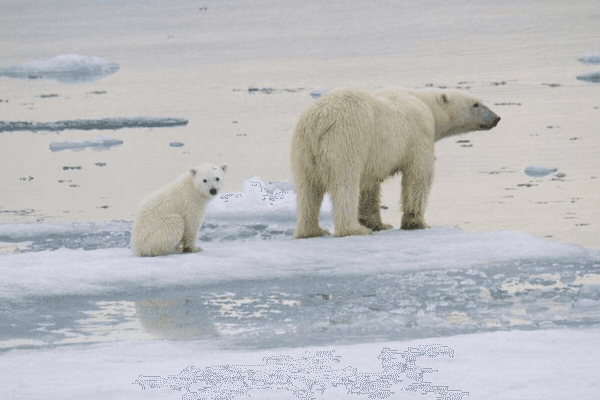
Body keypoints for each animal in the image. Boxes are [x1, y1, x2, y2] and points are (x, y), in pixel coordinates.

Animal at [290, 88, 502, 238]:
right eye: (476, 104)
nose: (497, 118)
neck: (426, 105)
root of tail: (319, 120)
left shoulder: (373, 156)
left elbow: (370, 186)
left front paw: (377, 224)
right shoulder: (419, 134)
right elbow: (418, 177)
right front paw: (417, 223)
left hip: (303, 148)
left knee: (307, 189)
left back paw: (312, 231)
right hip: (346, 139)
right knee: (345, 183)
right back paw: (353, 229)